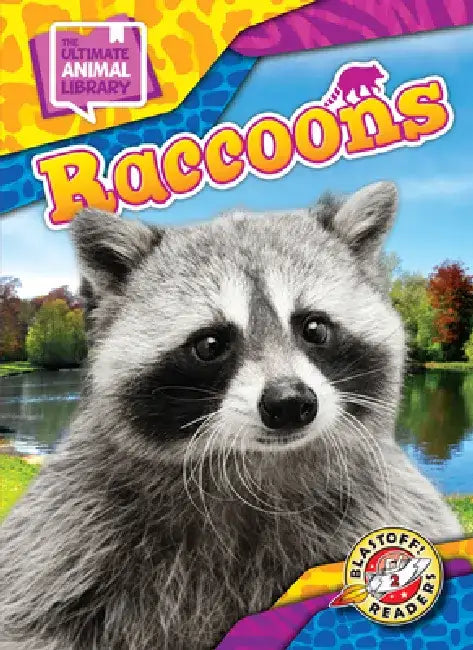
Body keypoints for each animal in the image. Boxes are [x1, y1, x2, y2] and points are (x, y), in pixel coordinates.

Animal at [0, 182, 462, 650]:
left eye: (313, 327)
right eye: (209, 344)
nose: (289, 403)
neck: (257, 467)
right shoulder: (72, 528)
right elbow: (32, 616)